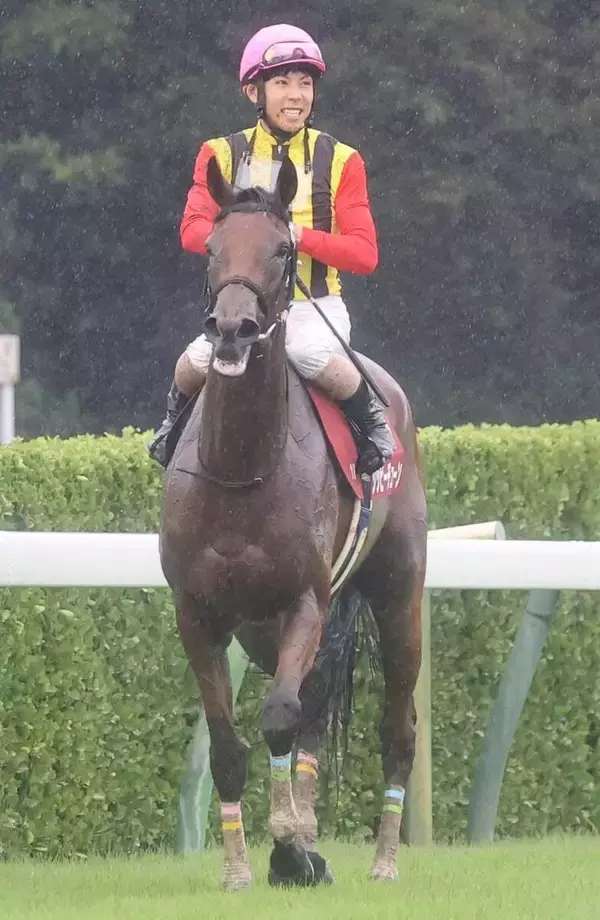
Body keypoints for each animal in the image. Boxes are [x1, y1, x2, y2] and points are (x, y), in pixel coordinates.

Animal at [158, 154, 427, 890]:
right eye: (211, 246)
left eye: (283, 250)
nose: (231, 330)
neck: (242, 469)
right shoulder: (198, 611)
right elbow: (230, 742)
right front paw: (242, 866)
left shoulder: (305, 597)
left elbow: (278, 717)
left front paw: (286, 844)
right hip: (260, 629)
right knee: (311, 709)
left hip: (399, 595)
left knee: (397, 726)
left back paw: (384, 860)